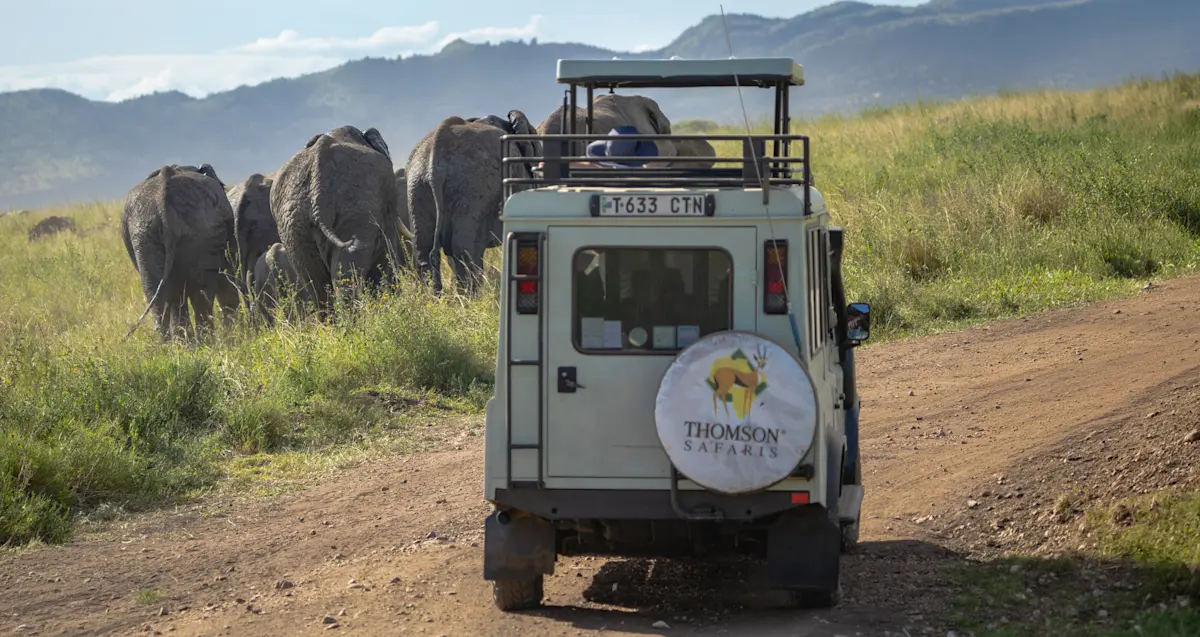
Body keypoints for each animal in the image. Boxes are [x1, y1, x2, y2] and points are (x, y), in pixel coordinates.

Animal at [121, 163, 240, 340]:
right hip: (201, 233)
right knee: (200, 295)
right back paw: (205, 342)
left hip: (144, 237)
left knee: (158, 295)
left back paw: (171, 344)